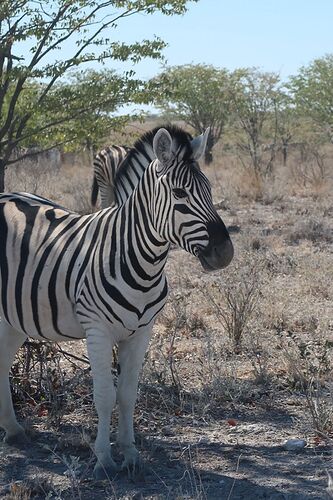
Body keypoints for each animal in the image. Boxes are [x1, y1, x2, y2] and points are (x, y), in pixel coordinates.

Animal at [0, 123, 233, 478]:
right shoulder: (97, 331)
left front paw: (131, 454)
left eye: (209, 190)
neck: (139, 258)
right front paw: (104, 460)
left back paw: (13, 430)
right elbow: (104, 396)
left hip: (12, 316)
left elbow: (127, 394)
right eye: (180, 194)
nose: (225, 253)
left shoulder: (142, 332)